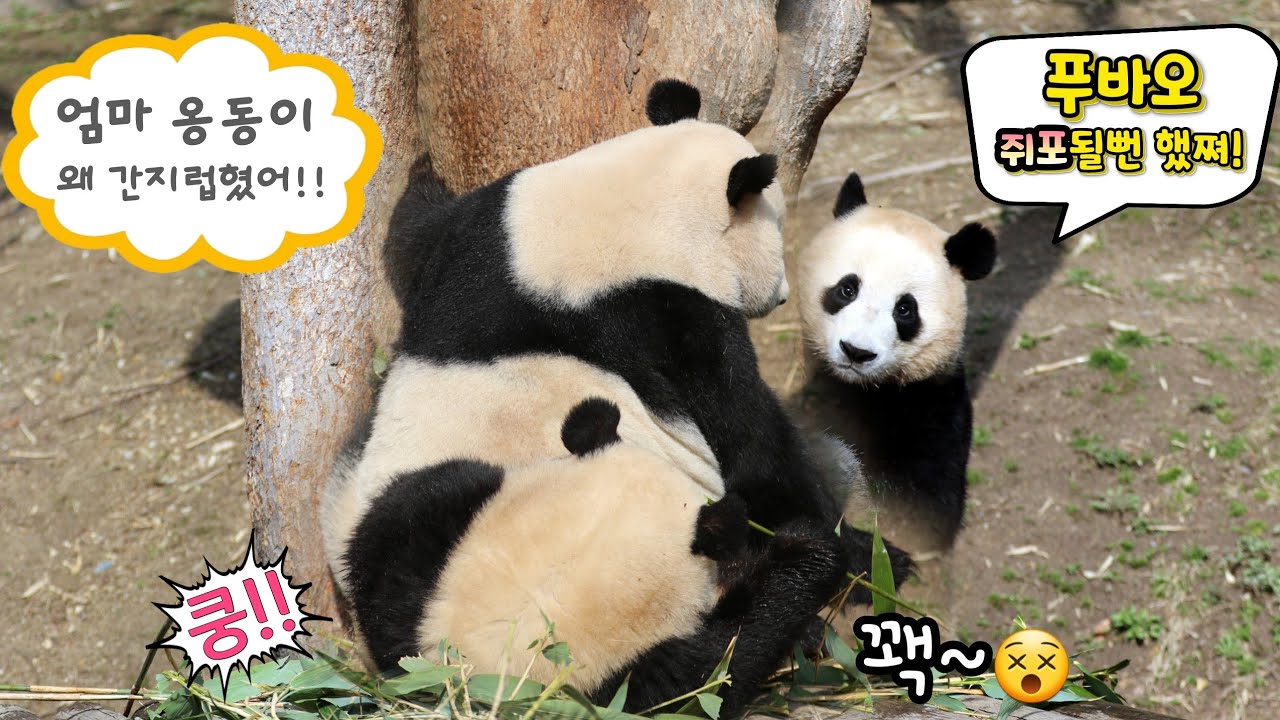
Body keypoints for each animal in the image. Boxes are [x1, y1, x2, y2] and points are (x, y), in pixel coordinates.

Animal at [794, 171, 997, 553]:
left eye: (905, 309)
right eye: (847, 289)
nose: (856, 352)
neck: (864, 389)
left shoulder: (933, 406)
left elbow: (918, 509)